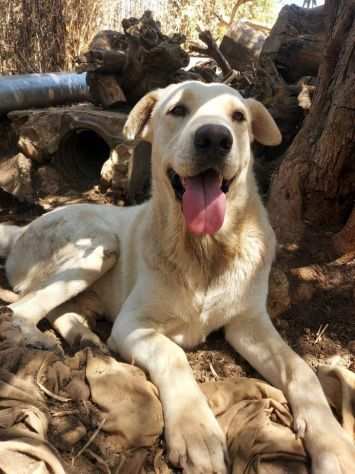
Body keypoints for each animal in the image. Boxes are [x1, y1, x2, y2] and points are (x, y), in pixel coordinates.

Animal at [0, 82, 355, 474]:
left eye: (238, 116)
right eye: (178, 110)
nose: (214, 139)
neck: (205, 252)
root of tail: (21, 229)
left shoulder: (249, 323)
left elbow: (301, 370)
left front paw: (334, 444)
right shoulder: (133, 324)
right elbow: (173, 355)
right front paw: (196, 432)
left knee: (56, 308)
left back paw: (84, 336)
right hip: (100, 244)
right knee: (22, 306)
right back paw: (37, 338)